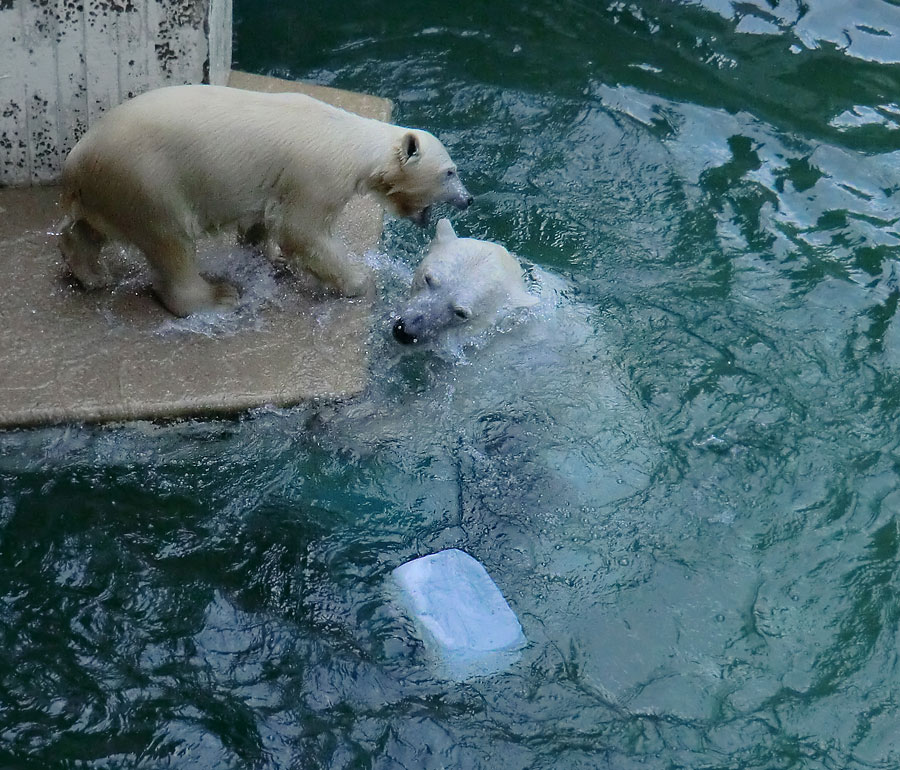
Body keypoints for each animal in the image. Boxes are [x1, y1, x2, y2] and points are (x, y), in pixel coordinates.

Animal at [61, 82, 472, 314]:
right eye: (450, 172)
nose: (468, 199)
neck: (352, 142)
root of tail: (75, 161)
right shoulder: (318, 175)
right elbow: (302, 231)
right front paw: (360, 281)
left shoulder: (278, 182)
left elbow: (266, 218)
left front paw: (270, 256)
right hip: (147, 179)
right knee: (170, 241)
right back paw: (217, 298)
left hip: (110, 188)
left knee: (91, 227)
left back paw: (91, 273)